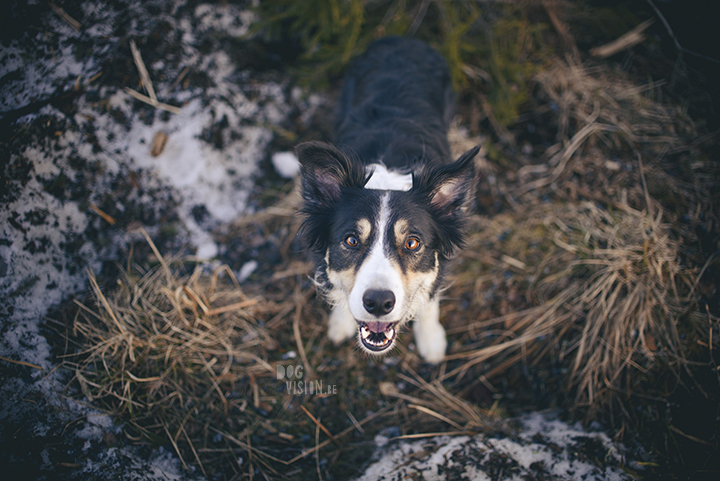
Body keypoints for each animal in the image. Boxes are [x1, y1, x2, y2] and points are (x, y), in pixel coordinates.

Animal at [296, 36, 480, 360]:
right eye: (351, 240)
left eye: (412, 243)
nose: (379, 303)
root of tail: (402, 39)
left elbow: (429, 302)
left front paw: (431, 340)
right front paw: (340, 322)